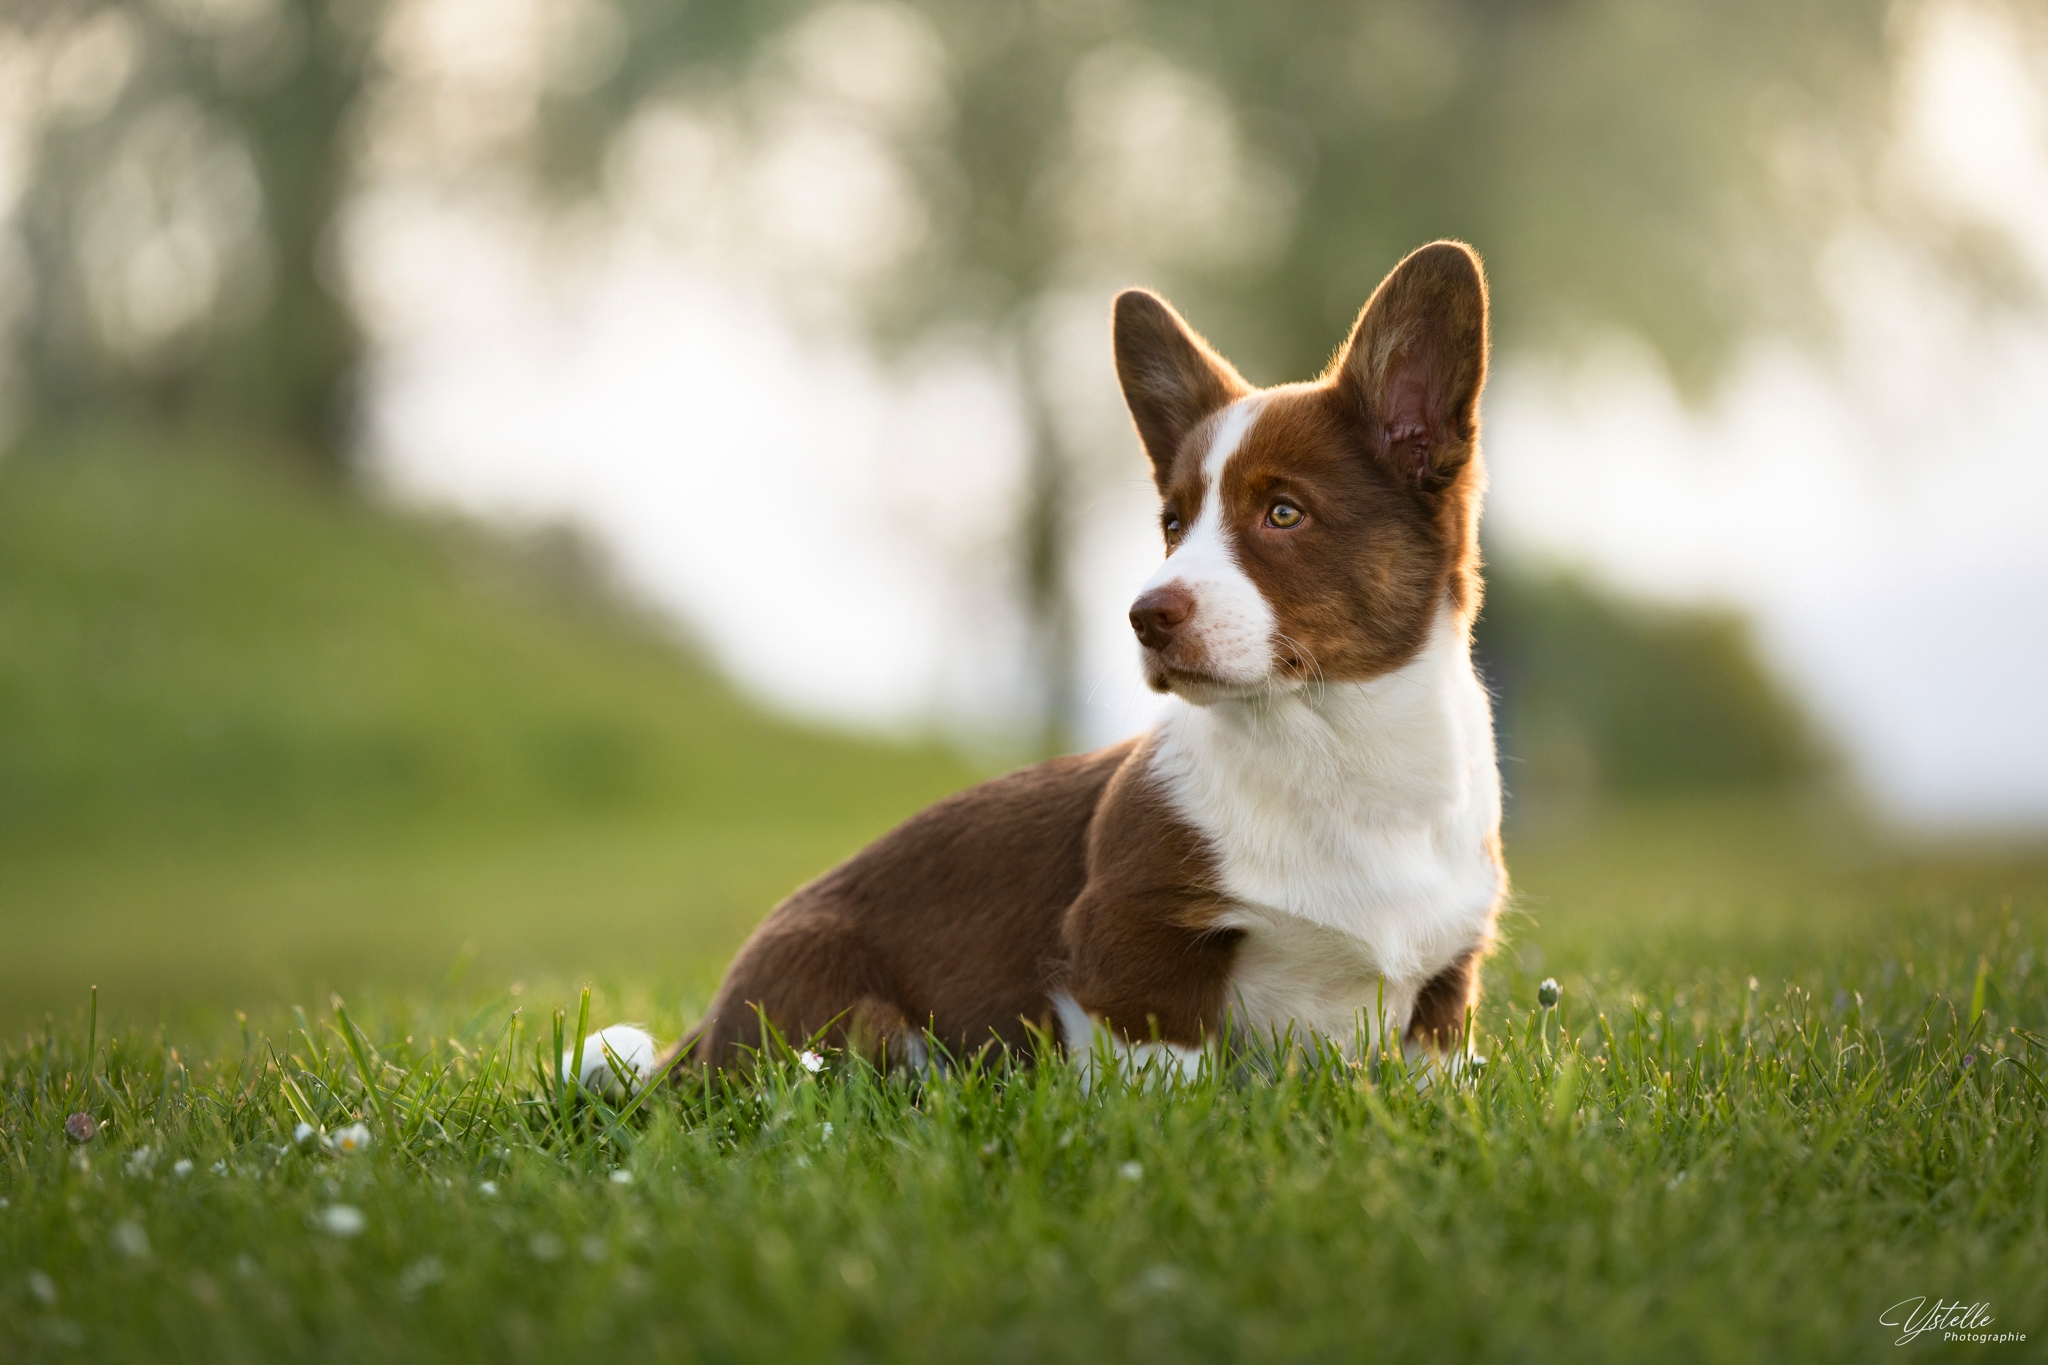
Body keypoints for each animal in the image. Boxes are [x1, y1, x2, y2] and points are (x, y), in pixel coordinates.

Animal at [667, 242, 1507, 1080]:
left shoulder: (1446, 985)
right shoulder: (1131, 936)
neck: (1337, 744)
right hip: (852, 1013)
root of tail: (701, 1035)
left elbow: (1436, 1071)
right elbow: (1168, 1071)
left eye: (1284, 513)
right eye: (1173, 524)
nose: (1144, 618)